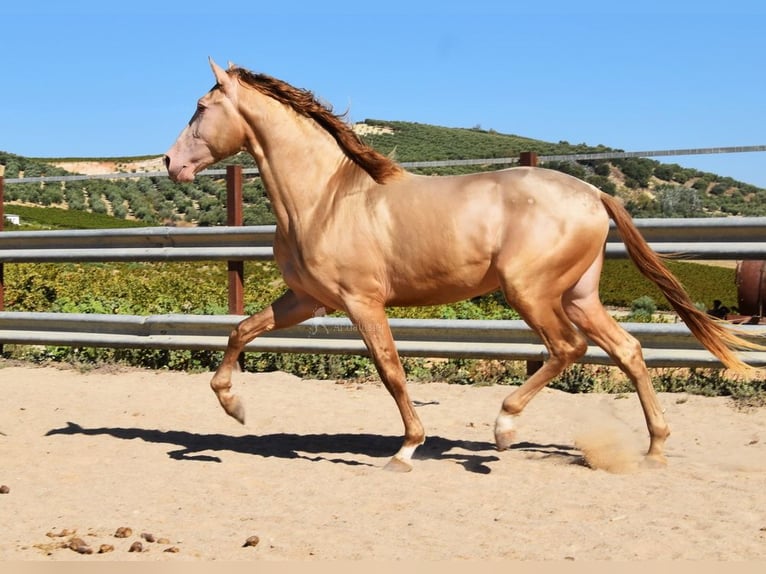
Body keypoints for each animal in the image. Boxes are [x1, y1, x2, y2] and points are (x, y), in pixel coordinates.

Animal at [166, 57, 760, 472]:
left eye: (200, 106)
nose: (171, 163)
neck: (325, 199)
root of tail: (593, 193)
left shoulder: (363, 302)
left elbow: (391, 370)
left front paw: (407, 449)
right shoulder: (308, 300)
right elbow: (241, 331)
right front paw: (235, 408)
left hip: (531, 292)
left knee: (568, 348)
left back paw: (504, 427)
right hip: (578, 296)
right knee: (629, 350)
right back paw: (654, 449)